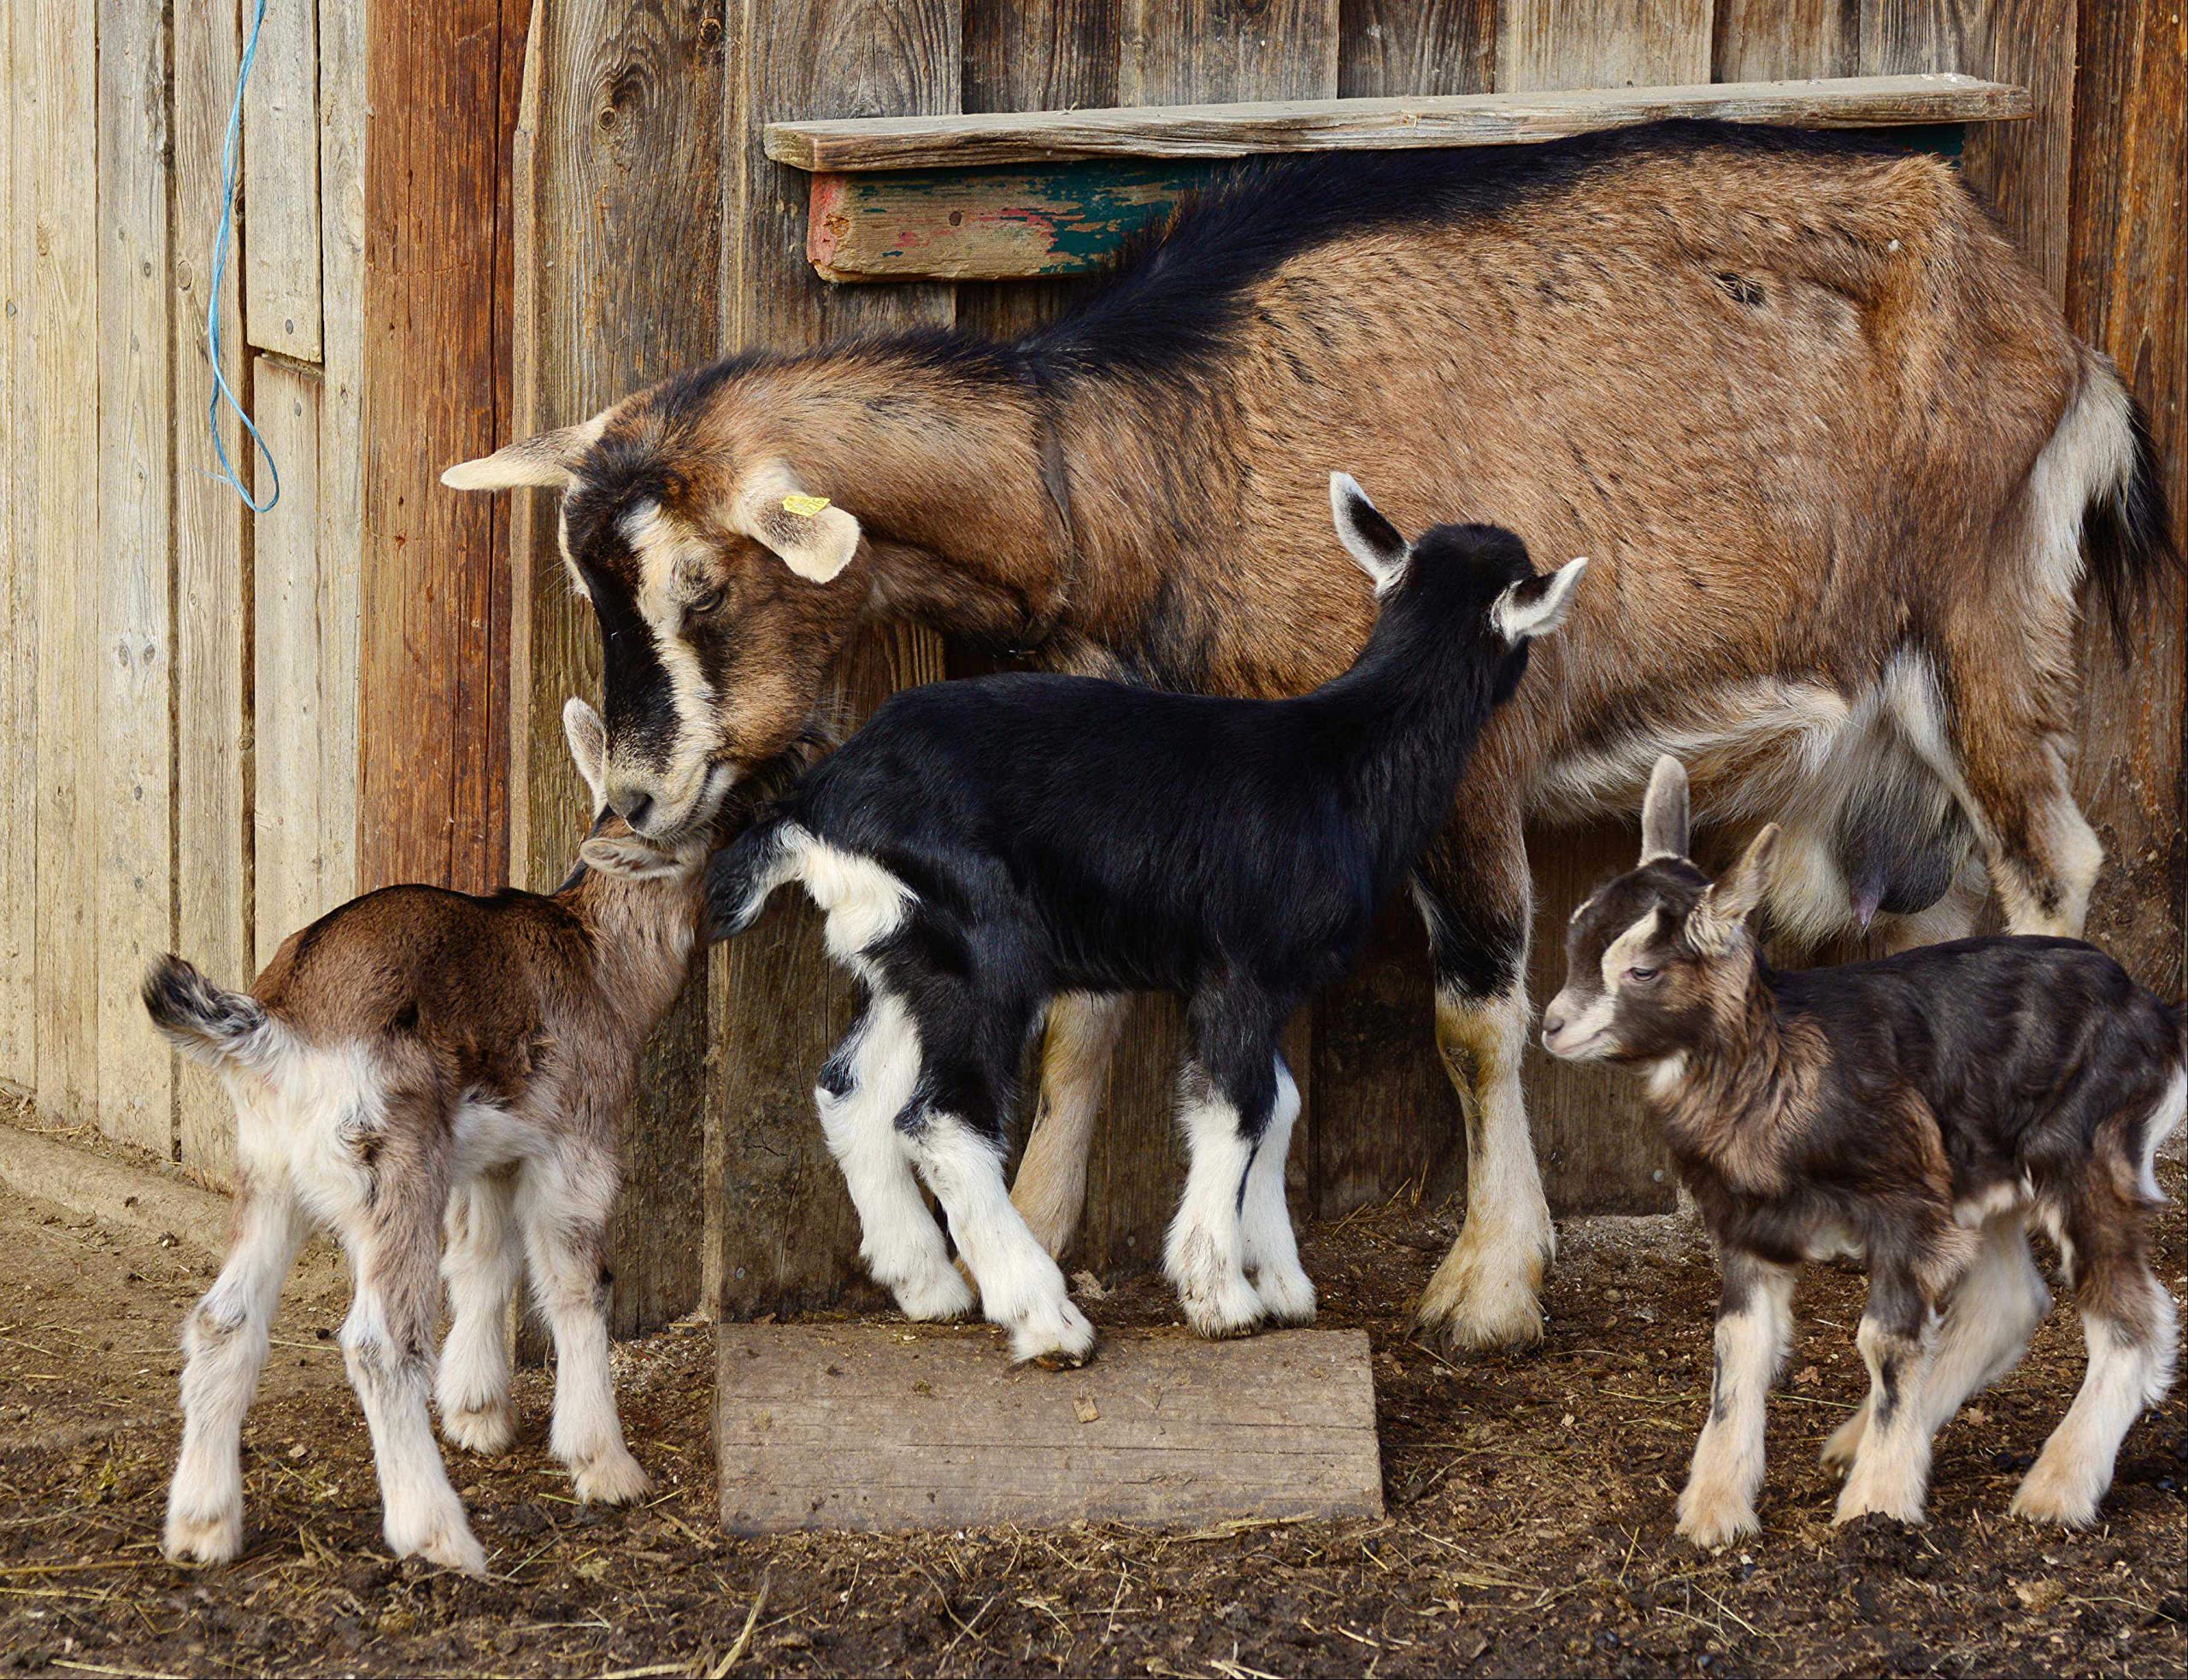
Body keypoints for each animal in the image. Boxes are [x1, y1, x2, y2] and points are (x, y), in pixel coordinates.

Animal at [144, 700, 710, 1575]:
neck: (598, 958)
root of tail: (278, 1028)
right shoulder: (579, 1144)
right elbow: (578, 1284)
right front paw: (604, 1463)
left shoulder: (490, 1155)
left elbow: (481, 1259)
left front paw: (477, 1413)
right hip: (394, 1167)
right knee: (380, 1343)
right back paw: (437, 1533)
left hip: (269, 1172)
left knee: (221, 1321)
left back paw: (203, 1526)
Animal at [699, 481, 1584, 1358]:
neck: (1343, 757)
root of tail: (819, 807)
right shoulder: (1243, 971)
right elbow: (1239, 1108)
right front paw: (1219, 1295)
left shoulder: (1258, 985)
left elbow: (1280, 1105)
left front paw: (1281, 1282)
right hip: (984, 955)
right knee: (942, 1118)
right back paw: (1041, 1316)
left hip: (908, 956)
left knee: (850, 1090)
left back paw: (928, 1285)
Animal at [1543, 756, 2183, 1545]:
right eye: (1574, 941)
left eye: (1642, 970)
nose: (1553, 1026)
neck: (1779, 1067)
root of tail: (2155, 1015)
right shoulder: (1751, 1227)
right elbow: (1737, 1347)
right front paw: (1714, 1510)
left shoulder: (1905, 1211)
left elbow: (1884, 1345)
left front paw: (1877, 1506)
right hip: (1981, 1175)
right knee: (2009, 1300)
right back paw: (1859, 1445)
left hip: (2087, 1155)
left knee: (2134, 1320)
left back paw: (2056, 1489)